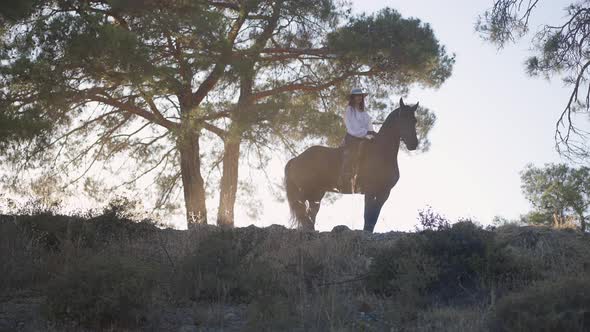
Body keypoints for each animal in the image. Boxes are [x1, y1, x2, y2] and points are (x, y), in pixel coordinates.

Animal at [286, 98, 420, 232]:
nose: (413, 144)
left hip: (316, 194)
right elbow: (368, 215)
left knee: (311, 213)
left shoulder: (384, 193)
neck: (381, 152)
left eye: (414, 120)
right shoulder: (370, 191)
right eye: (402, 118)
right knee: (302, 210)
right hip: (306, 191)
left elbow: (374, 217)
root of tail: (295, 159)